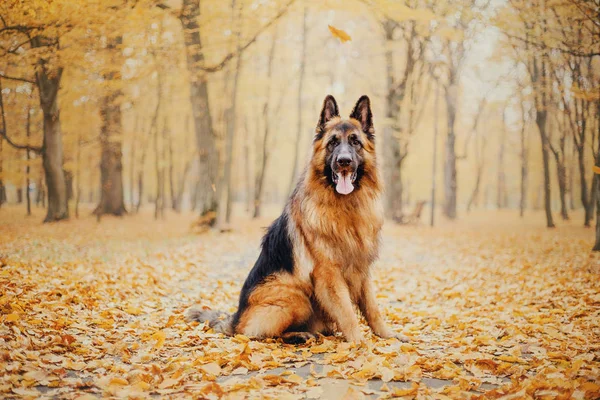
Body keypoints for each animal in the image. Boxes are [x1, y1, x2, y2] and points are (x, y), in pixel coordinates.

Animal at [188, 94, 404, 344]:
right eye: (332, 143)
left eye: (355, 142)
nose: (344, 161)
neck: (346, 208)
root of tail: (236, 318)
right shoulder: (329, 275)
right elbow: (348, 312)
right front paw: (360, 343)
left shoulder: (362, 268)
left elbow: (372, 308)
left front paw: (387, 335)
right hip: (296, 297)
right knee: (262, 334)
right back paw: (300, 334)